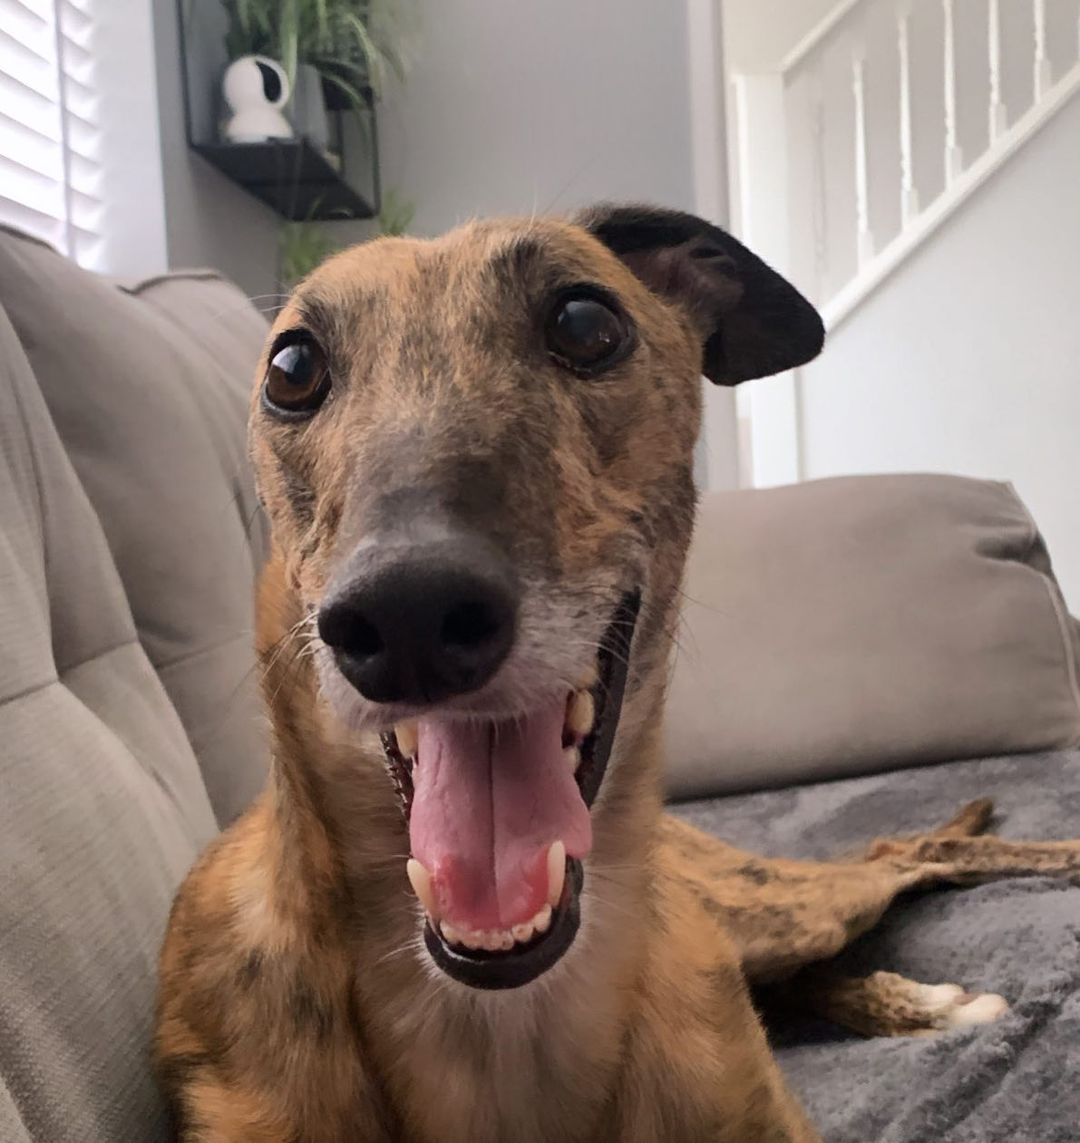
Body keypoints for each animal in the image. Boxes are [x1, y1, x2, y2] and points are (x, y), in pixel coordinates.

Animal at [155, 208, 1078, 1143]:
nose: (408, 616)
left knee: (907, 850)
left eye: (585, 322)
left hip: (777, 907)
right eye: (292, 368)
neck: (506, 1029)